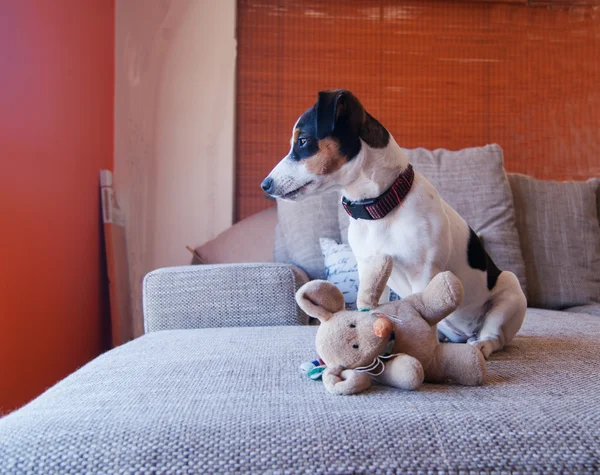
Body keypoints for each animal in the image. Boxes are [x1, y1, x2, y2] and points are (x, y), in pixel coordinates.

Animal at [260, 89, 528, 358]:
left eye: (303, 141)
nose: (265, 185)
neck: (381, 208)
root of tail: (464, 333)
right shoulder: (370, 266)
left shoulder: (424, 273)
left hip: (510, 291)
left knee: (494, 337)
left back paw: (480, 344)